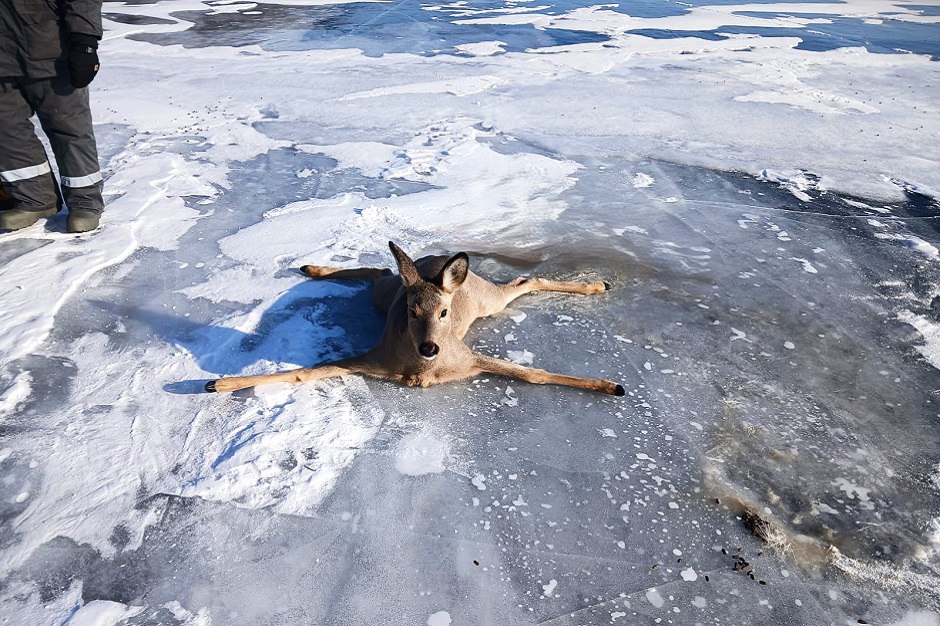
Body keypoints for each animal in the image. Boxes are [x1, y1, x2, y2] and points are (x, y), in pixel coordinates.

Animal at [207, 239, 624, 394]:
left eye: (444, 311)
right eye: (411, 311)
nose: (429, 347)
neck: (421, 372)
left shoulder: (469, 357)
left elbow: (533, 373)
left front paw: (609, 385)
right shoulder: (372, 358)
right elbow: (302, 372)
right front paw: (220, 384)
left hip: (486, 301)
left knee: (526, 279)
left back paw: (597, 285)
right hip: (388, 293)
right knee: (380, 271)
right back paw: (313, 268)